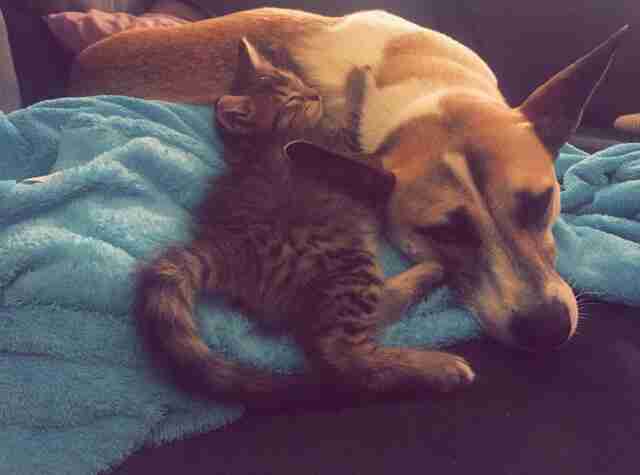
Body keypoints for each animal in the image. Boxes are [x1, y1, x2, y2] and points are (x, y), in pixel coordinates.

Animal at [132, 38, 472, 410]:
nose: (315, 94)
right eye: (293, 99)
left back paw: (430, 271)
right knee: (344, 358)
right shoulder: (345, 149)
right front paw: (360, 84)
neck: (259, 142)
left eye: (298, 81)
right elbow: (357, 127)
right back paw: (438, 365)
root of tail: (227, 246)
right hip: (345, 262)